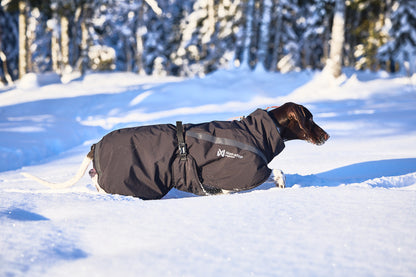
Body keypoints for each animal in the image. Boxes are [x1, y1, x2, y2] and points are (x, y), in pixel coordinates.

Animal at [22, 101, 328, 198]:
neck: (259, 131)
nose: (327, 135)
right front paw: (282, 184)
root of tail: (94, 146)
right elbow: (277, 172)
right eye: (310, 118)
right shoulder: (240, 176)